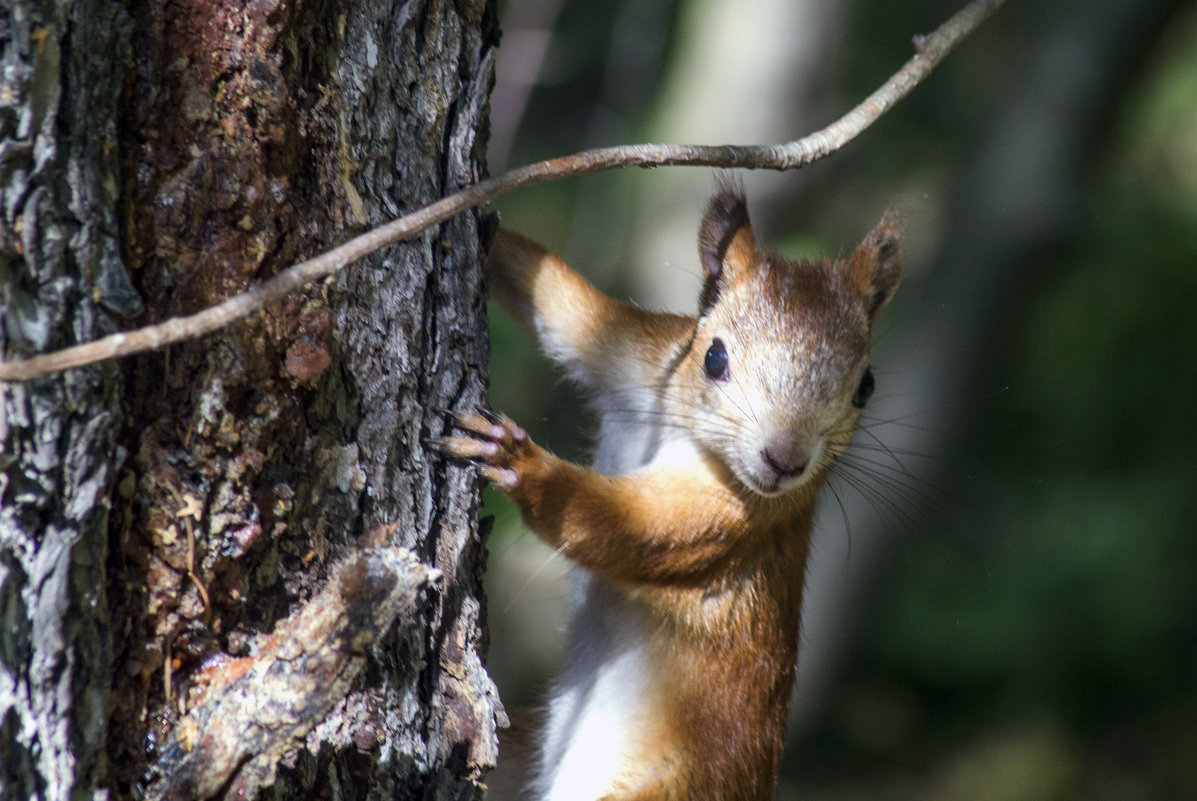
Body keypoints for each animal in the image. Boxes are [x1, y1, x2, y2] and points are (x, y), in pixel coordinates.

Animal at [438, 190, 900, 795]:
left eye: (866, 386)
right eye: (714, 356)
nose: (785, 461)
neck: (686, 429)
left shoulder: (733, 518)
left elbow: (631, 528)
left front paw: (522, 463)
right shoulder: (639, 353)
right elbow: (566, 304)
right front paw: (476, 222)